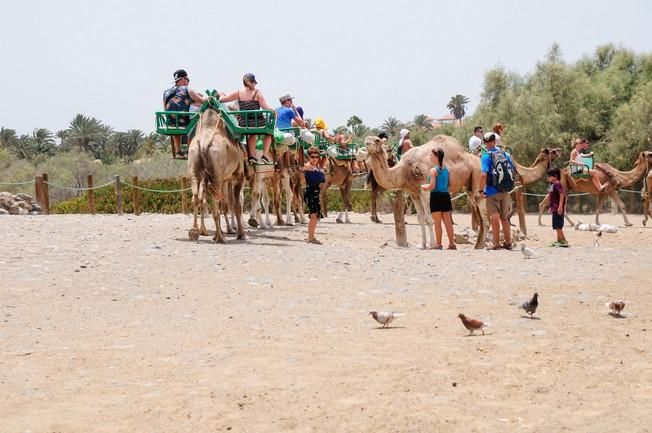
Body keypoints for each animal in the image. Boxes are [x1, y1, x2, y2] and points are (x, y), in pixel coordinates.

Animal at [187, 107, 246, 243]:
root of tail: (203, 144)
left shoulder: (224, 177)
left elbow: (223, 202)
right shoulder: (238, 174)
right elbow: (236, 204)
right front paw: (241, 234)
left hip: (195, 164)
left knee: (196, 196)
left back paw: (194, 231)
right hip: (216, 175)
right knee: (215, 203)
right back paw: (220, 237)